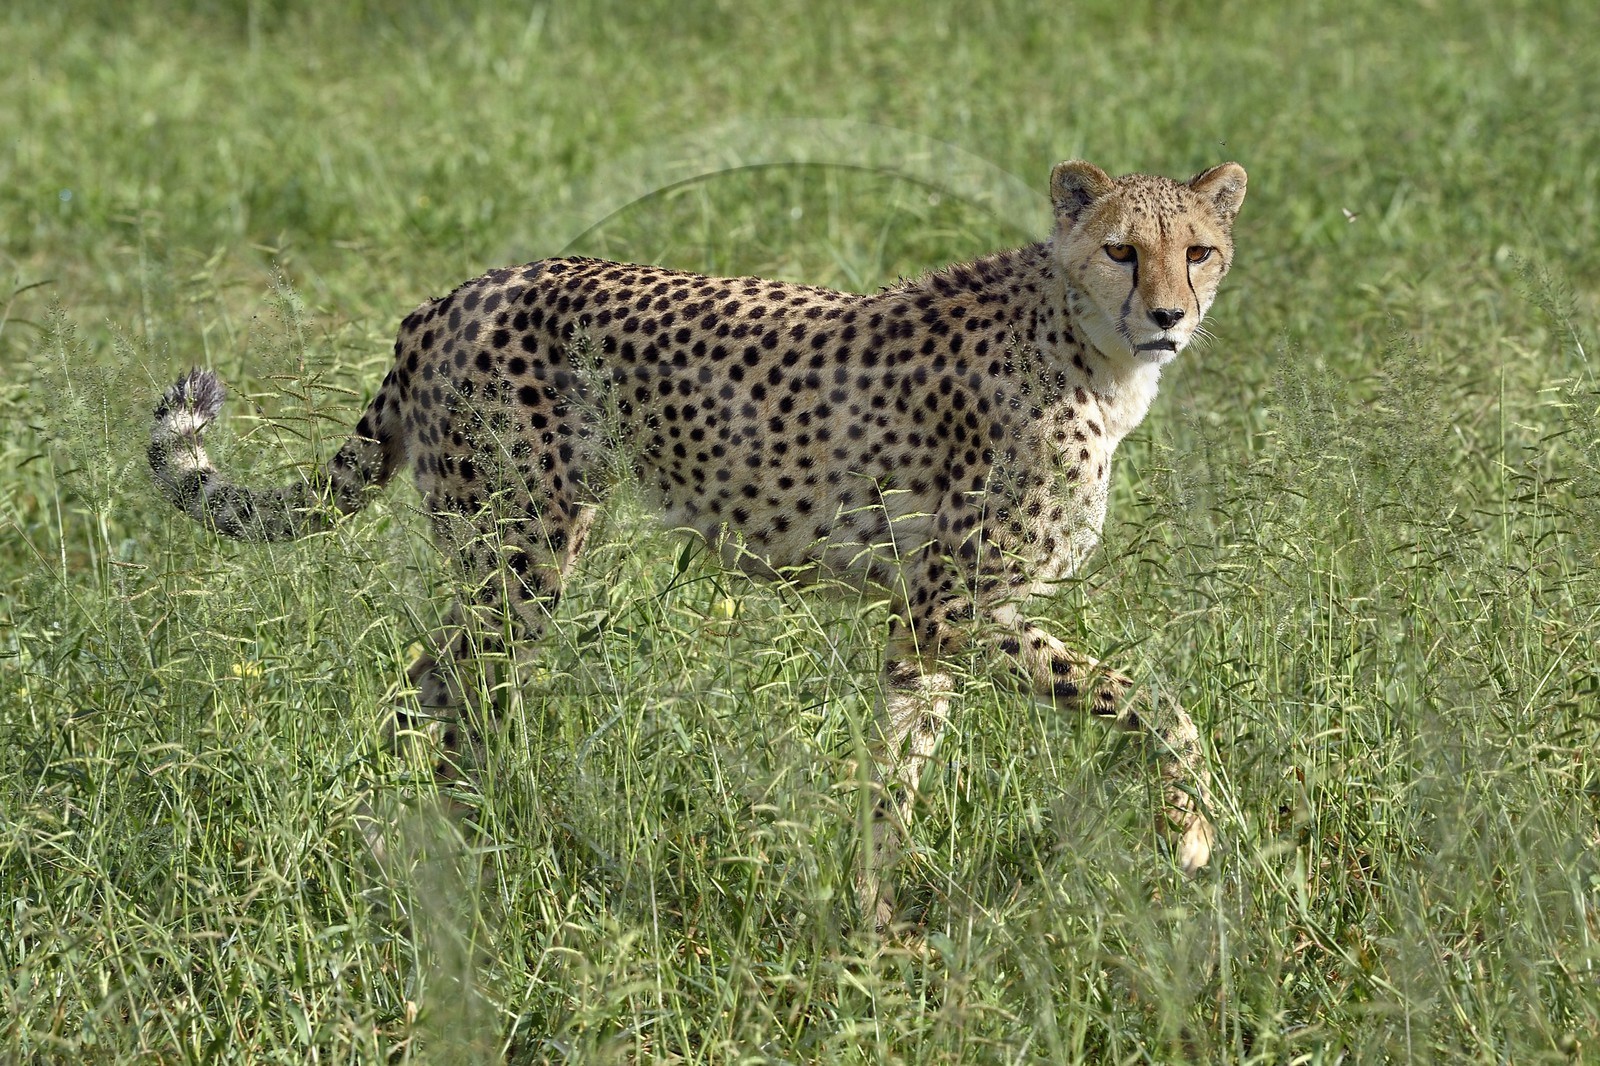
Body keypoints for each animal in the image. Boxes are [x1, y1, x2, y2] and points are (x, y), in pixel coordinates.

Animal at [148, 159, 1247, 926]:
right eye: (1121, 250)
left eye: (1198, 251)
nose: (1169, 314)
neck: (1086, 351)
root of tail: (459, 292)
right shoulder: (954, 605)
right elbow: (1153, 704)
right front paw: (1191, 837)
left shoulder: (920, 619)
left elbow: (898, 766)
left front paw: (874, 916)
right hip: (521, 554)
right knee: (448, 691)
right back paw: (474, 859)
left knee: (429, 686)